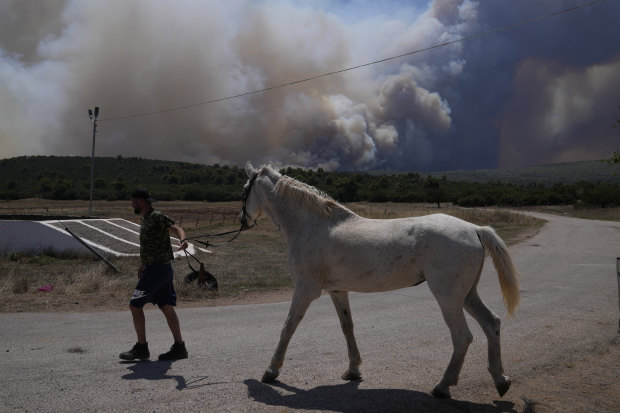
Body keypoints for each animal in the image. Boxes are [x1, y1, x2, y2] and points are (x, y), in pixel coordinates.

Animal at [240, 162, 520, 400]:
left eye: (244, 190)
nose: (243, 221)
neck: (312, 226)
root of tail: (475, 229)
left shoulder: (306, 289)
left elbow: (288, 327)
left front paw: (271, 371)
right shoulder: (337, 291)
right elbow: (347, 327)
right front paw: (353, 370)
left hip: (449, 297)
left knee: (462, 337)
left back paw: (443, 386)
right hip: (467, 295)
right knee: (491, 324)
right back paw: (500, 380)